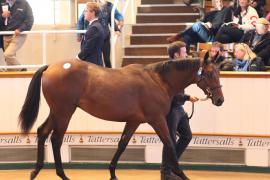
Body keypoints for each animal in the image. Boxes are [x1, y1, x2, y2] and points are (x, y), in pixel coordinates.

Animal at [18, 58, 224, 180]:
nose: (220, 100)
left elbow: (122, 144)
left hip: (57, 112)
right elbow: (170, 145)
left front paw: (112, 173)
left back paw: (35, 171)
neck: (158, 80)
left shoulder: (134, 121)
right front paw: (182, 174)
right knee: (56, 139)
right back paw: (62, 175)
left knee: (42, 132)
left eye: (218, 73)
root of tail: (51, 67)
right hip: (64, 112)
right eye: (209, 74)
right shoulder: (157, 119)